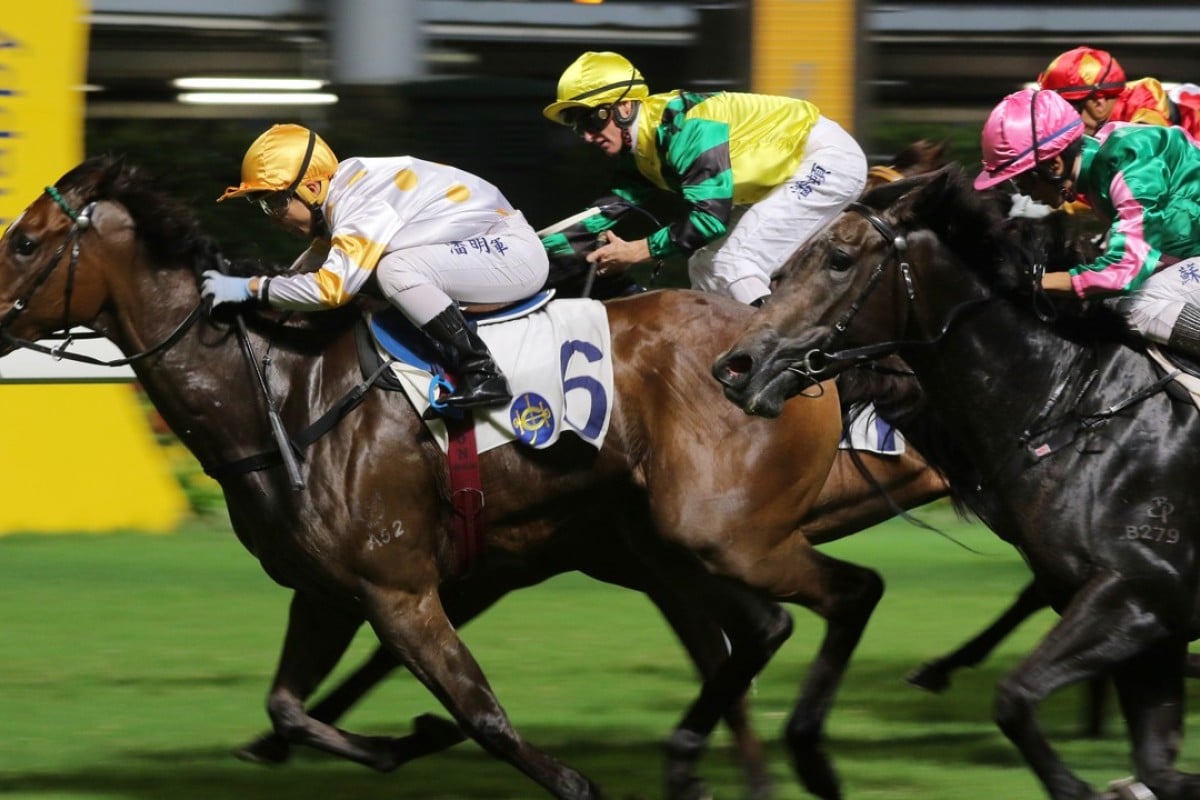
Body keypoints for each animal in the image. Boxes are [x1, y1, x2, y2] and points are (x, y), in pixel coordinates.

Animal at [2, 155, 945, 800]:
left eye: (24, 240)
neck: (283, 393)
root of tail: (788, 356)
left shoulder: (402, 588)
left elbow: (482, 714)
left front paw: (562, 776)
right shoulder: (332, 589)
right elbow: (288, 707)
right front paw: (399, 739)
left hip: (715, 532)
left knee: (809, 609)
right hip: (674, 545)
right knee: (760, 631)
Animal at [710, 163, 1200, 800]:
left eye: (840, 259)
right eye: (782, 269)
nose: (737, 367)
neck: (1072, 404)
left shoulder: (1138, 594)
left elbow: (1013, 698)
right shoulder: (1146, 627)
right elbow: (1158, 768)